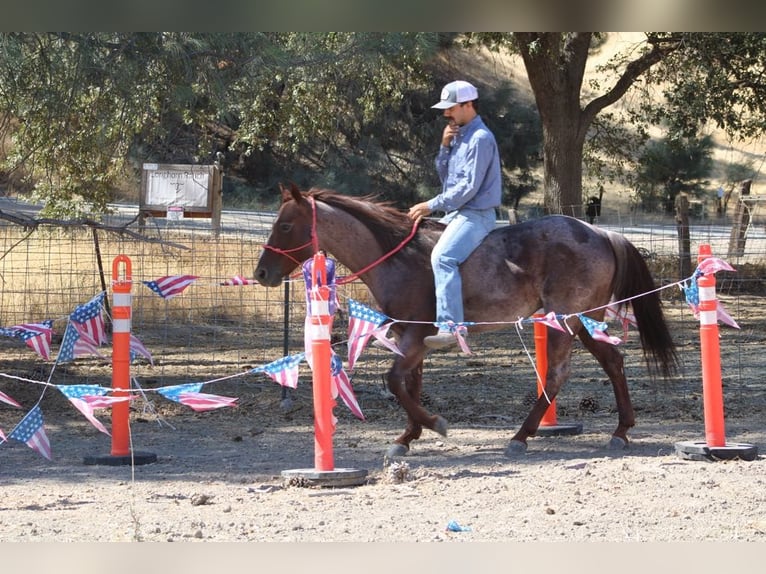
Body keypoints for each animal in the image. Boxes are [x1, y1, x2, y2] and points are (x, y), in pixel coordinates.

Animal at [255, 182, 680, 462]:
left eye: (286, 226)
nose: (261, 273)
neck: (397, 256)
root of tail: (600, 232)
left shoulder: (415, 335)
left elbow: (394, 381)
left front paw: (433, 424)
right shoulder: (411, 337)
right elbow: (410, 383)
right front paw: (407, 437)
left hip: (567, 320)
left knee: (559, 373)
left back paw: (521, 436)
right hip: (584, 320)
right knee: (613, 363)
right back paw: (621, 431)